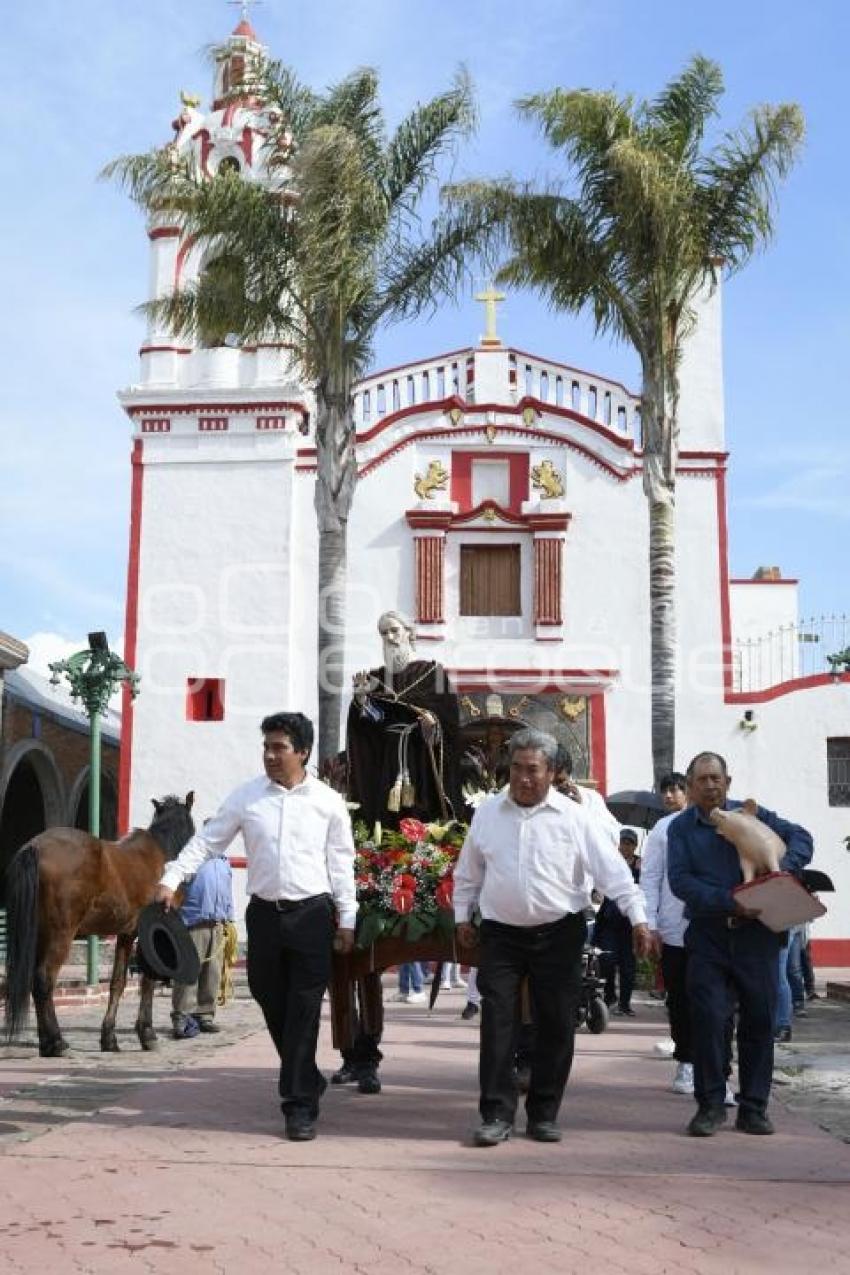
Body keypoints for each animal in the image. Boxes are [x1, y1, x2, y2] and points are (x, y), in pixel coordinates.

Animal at [3, 790, 196, 1060]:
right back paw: (57, 1042)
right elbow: (147, 981)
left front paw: (109, 1039)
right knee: (44, 981)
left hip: (39, 935)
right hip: (60, 935)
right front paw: (147, 1034)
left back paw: (46, 1043)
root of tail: (35, 847)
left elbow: (118, 983)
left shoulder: (126, 935)